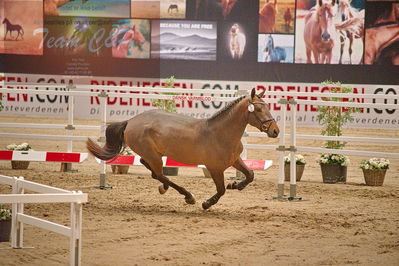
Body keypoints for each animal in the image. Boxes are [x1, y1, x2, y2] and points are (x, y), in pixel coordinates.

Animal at [87, 89, 280, 210]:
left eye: (267, 106)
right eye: (258, 108)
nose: (275, 131)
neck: (220, 133)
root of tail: (131, 121)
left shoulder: (235, 160)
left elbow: (250, 175)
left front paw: (235, 185)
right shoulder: (215, 168)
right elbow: (221, 190)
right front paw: (206, 203)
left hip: (153, 154)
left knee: (150, 169)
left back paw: (166, 188)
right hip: (154, 156)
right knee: (159, 174)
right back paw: (187, 196)